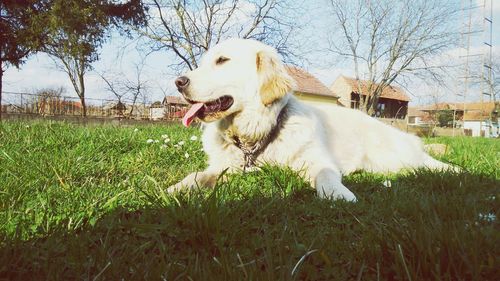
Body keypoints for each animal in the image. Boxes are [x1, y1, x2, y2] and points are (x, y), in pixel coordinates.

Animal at [169, 38, 454, 200]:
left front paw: (340, 194)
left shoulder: (316, 160)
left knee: (423, 163)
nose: (179, 82)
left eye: (222, 60)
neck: (257, 133)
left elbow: (326, 176)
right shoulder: (226, 167)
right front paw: (174, 188)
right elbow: (197, 176)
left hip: (393, 159)